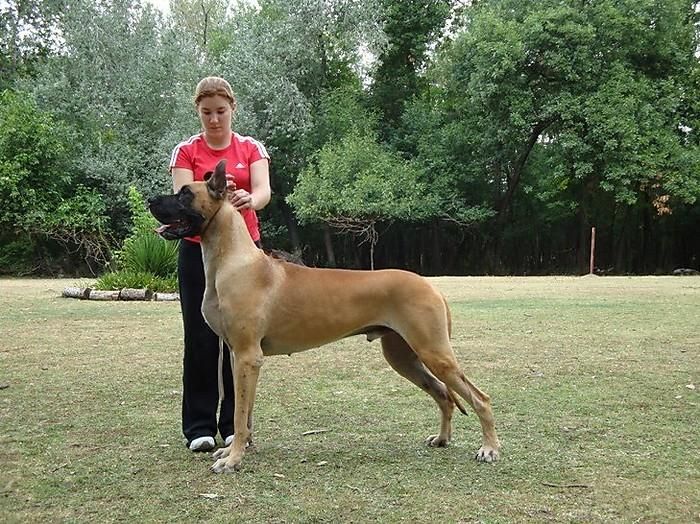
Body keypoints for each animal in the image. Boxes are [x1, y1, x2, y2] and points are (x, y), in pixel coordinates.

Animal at [149, 159, 500, 473]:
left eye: (184, 194)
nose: (151, 199)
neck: (233, 260)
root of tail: (431, 286)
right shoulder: (240, 357)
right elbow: (244, 412)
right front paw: (238, 450)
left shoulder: (248, 356)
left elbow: (238, 414)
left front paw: (233, 460)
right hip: (404, 357)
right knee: (442, 393)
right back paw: (442, 439)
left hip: (434, 352)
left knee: (479, 397)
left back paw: (489, 449)